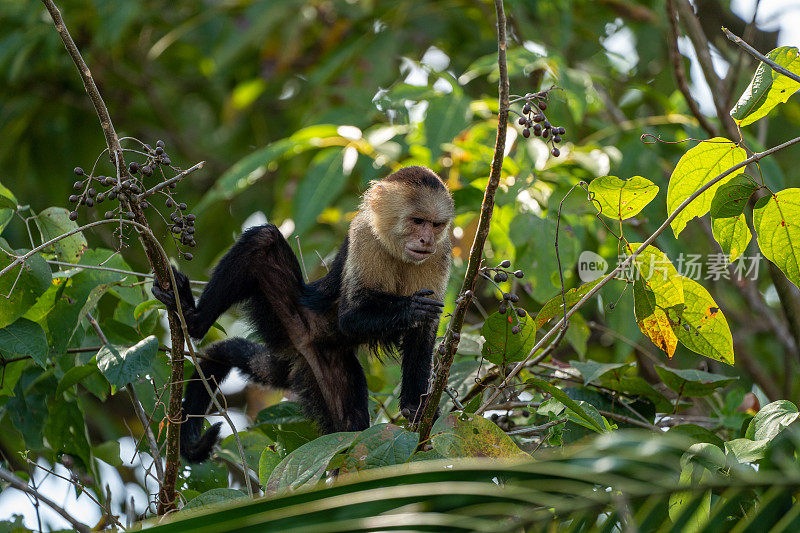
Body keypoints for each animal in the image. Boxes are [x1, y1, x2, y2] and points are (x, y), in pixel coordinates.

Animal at [153, 166, 454, 462]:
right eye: (417, 221)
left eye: (436, 225)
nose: (426, 239)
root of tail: (298, 347)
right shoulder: (363, 235)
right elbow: (350, 317)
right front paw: (411, 307)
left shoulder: (441, 252)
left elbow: (424, 329)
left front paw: (414, 407)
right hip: (290, 317)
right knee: (262, 241)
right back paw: (192, 319)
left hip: (325, 363)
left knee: (348, 429)